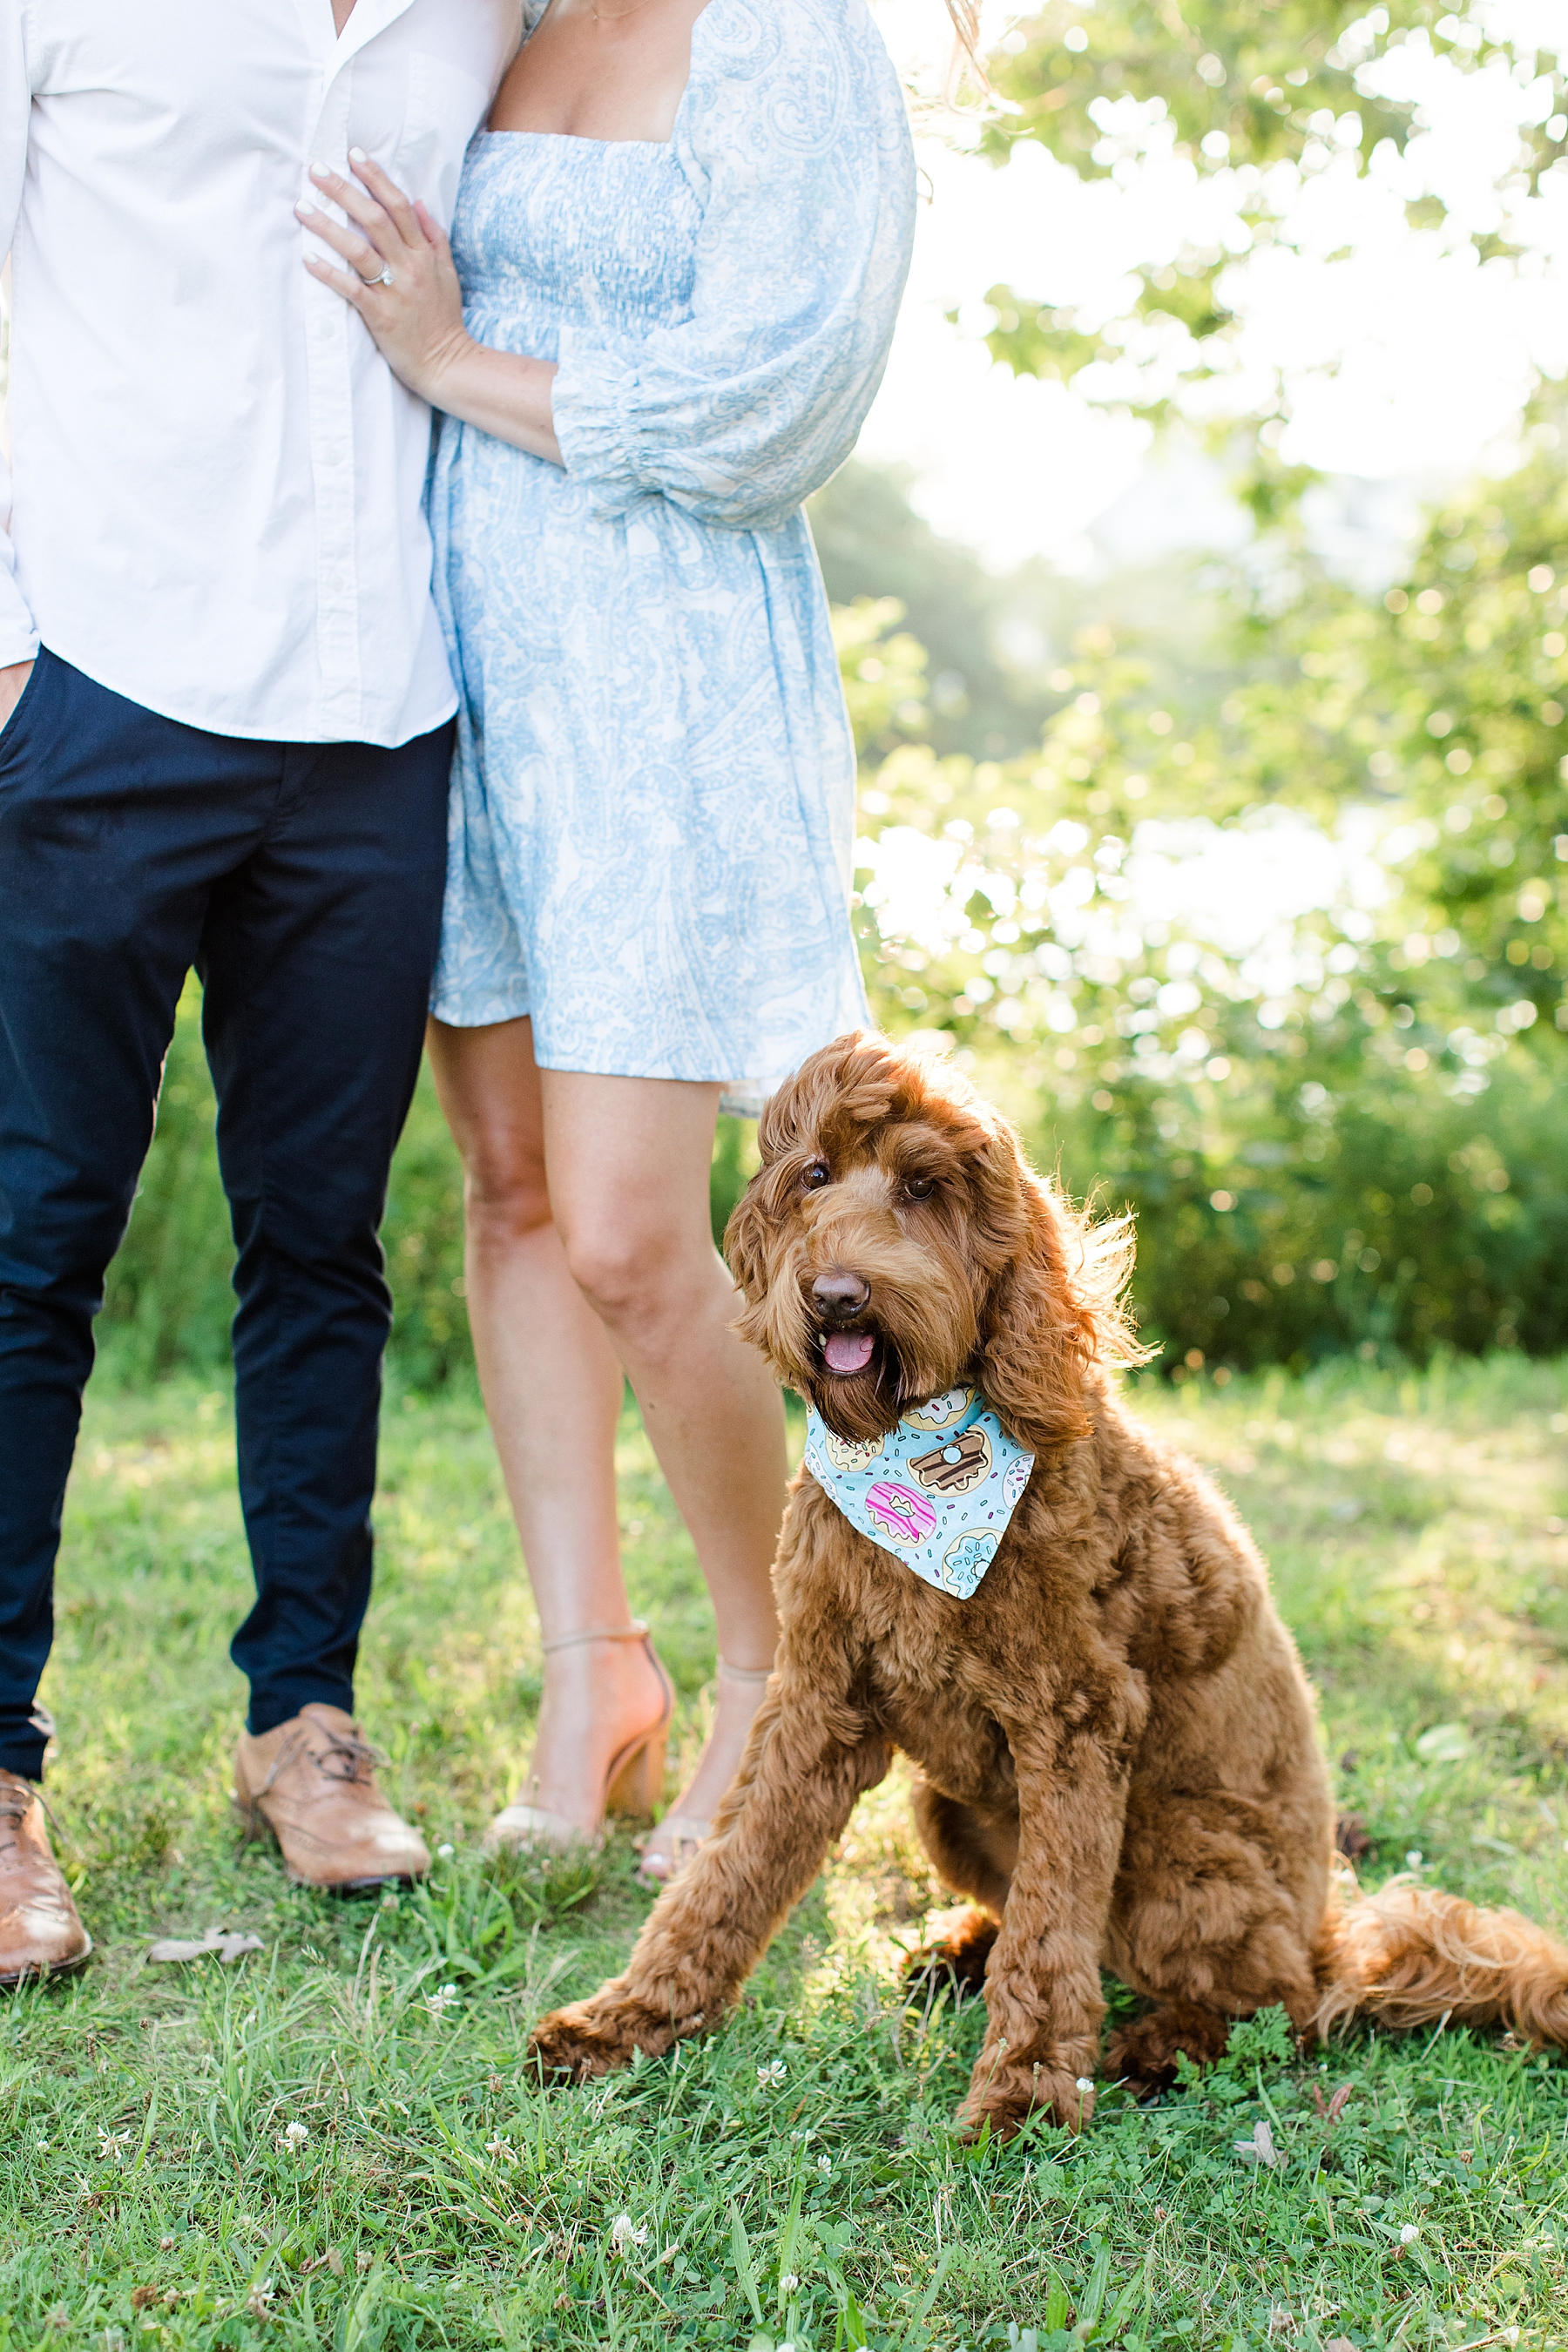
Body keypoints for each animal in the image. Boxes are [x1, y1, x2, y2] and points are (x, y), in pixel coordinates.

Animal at [533, 1030, 1568, 2135]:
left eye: (925, 1187)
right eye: (814, 1176)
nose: (838, 1296)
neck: (923, 1463)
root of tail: (1331, 1925)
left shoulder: (1076, 1722)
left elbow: (1053, 1924)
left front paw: (1024, 2090)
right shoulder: (816, 1704)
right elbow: (724, 1878)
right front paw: (626, 2020)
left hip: (1173, 1848)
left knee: (1274, 1999)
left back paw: (1164, 2043)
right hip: (945, 1807)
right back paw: (962, 1952)